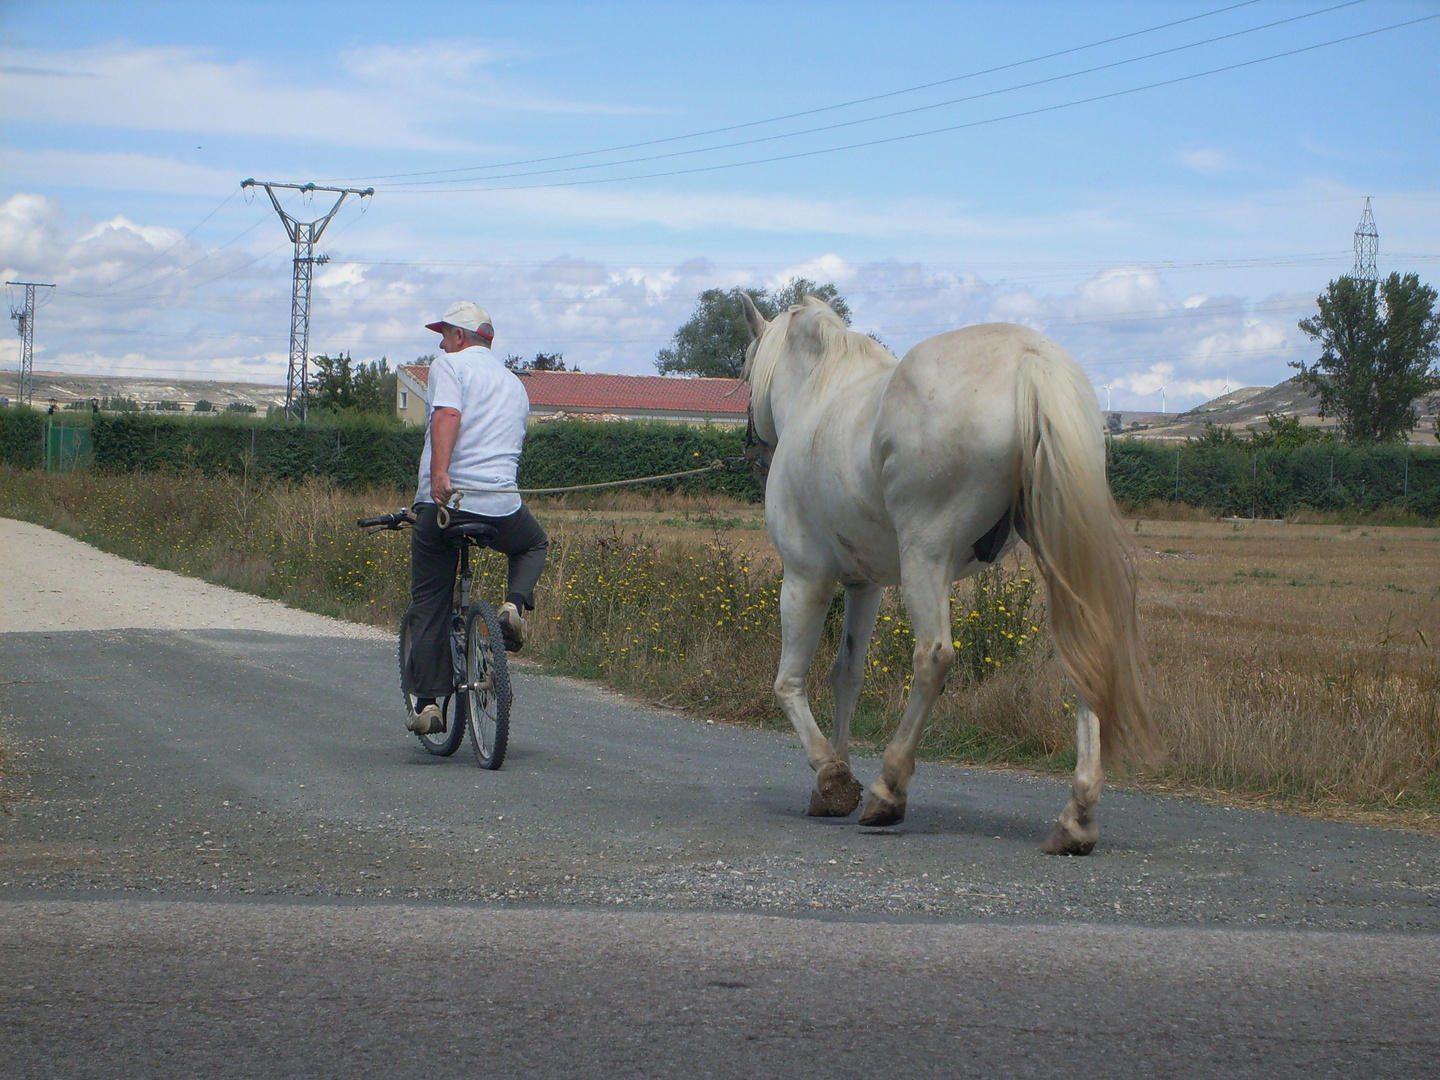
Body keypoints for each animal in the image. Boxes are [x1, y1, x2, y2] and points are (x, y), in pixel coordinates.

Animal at [743, 293, 1157, 852]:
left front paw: (831, 775)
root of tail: (1032, 360)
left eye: (743, 369)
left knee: (933, 658)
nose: (754, 449)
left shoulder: (806, 577)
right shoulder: (864, 585)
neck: (821, 392)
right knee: (1085, 659)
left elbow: (789, 682)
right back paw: (1077, 817)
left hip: (927, 554)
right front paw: (835, 777)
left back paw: (888, 791)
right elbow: (846, 676)